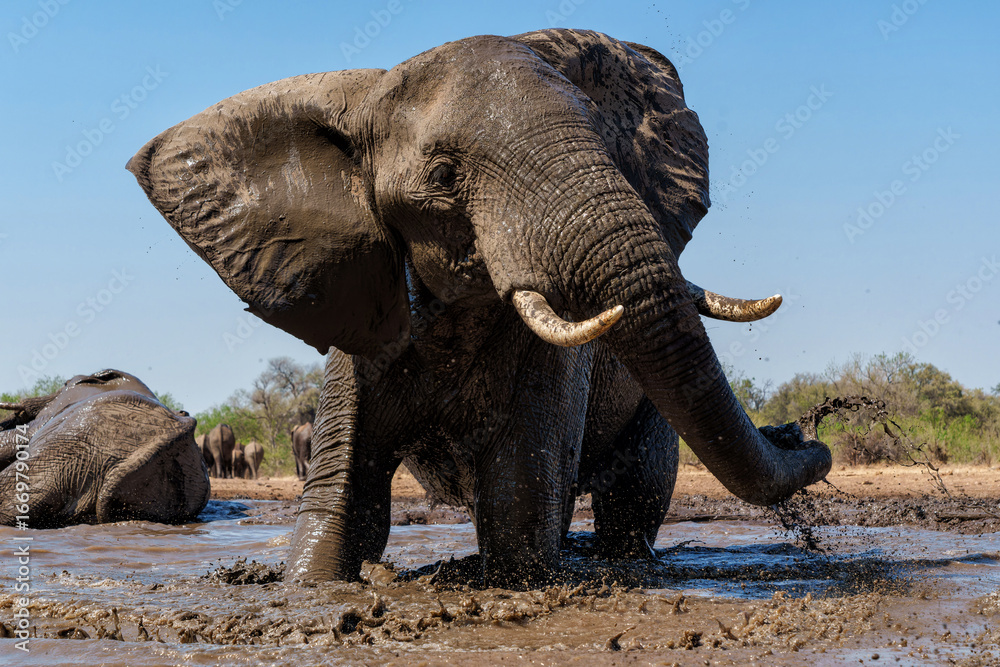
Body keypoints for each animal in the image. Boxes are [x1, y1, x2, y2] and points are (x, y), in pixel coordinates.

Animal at [128, 29, 831, 584]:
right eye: (443, 178)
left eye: (609, 149)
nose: (801, 432)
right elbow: (342, 504)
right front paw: (314, 586)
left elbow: (518, 502)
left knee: (633, 498)